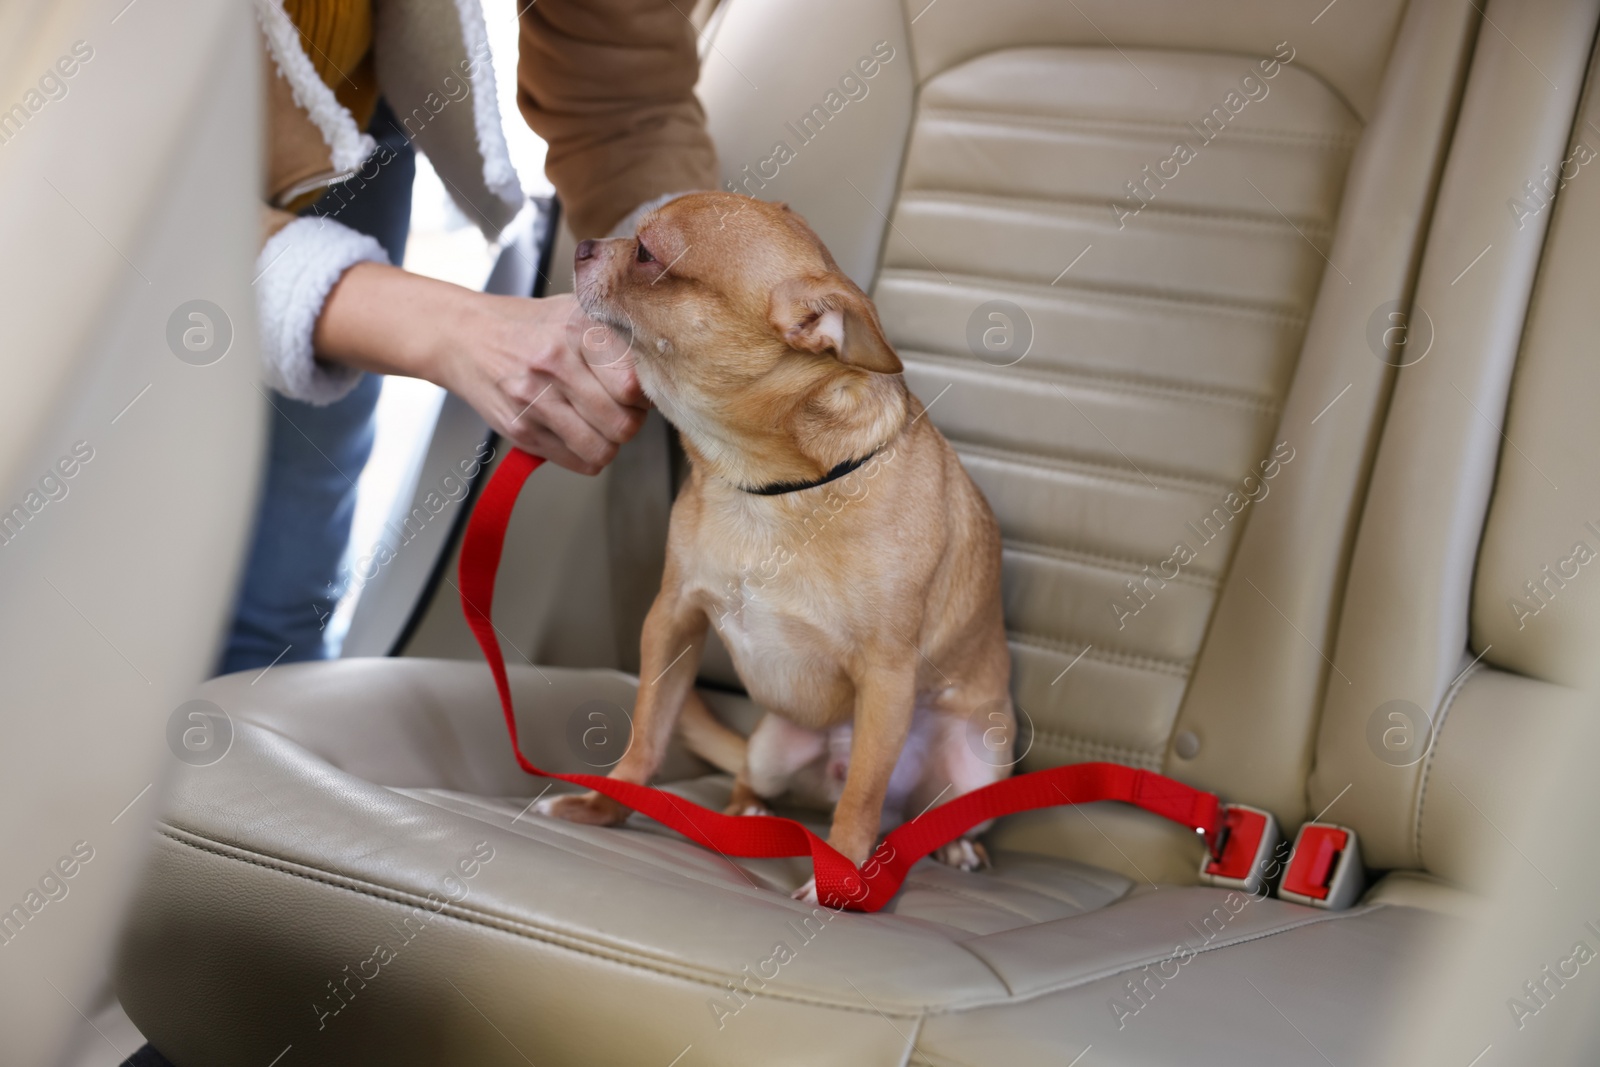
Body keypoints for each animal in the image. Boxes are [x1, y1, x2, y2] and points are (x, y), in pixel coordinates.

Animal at [537, 191, 1011, 895]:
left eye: (647, 253)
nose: (586, 245)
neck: (766, 488)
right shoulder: (672, 620)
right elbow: (646, 735)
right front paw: (606, 806)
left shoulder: (887, 678)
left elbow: (860, 799)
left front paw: (840, 875)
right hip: (770, 748)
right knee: (752, 778)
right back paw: (747, 812)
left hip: (983, 764)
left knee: (908, 806)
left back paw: (952, 845)